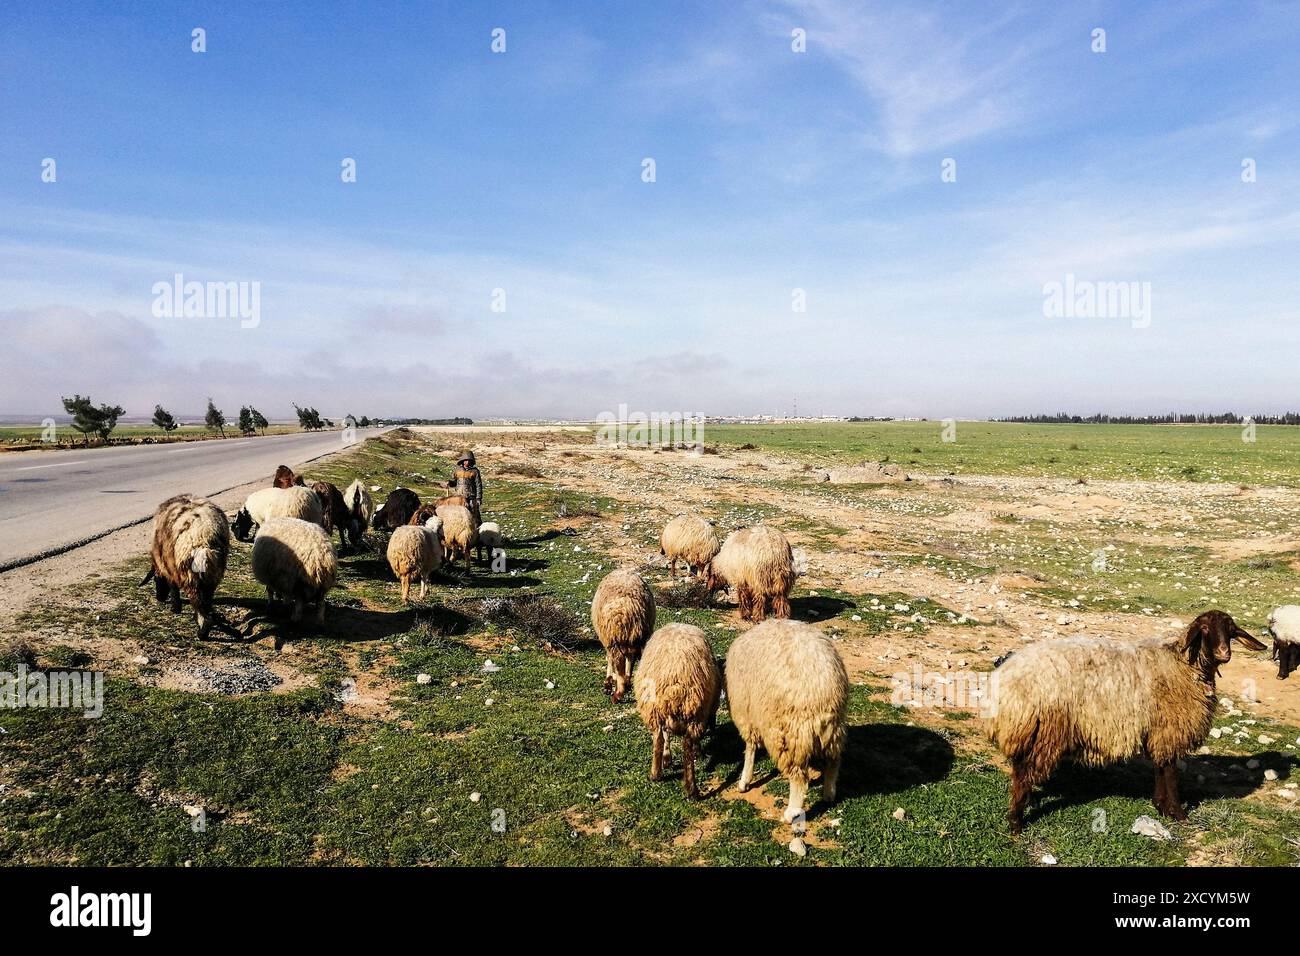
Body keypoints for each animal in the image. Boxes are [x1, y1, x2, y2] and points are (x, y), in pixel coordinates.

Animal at [595, 567, 660, 702]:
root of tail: (627, 608)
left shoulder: (608, 639)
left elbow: (610, 659)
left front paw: (608, 683)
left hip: (615, 638)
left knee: (618, 659)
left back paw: (618, 693)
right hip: (639, 635)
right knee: (633, 656)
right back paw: (628, 682)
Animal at [631, 621, 722, 801]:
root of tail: (674, 680)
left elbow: (666, 735)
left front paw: (667, 759)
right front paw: (699, 753)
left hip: (654, 709)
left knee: (658, 738)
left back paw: (655, 774)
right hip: (694, 711)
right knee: (686, 745)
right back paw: (691, 789)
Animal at [728, 621, 847, 822]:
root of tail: (822, 688)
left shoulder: (747, 713)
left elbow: (750, 749)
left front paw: (744, 781)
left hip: (787, 732)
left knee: (799, 777)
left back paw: (791, 812)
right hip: (832, 730)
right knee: (834, 761)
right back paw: (829, 793)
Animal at [987, 613, 1263, 832]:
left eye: (1231, 630)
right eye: (1204, 629)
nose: (1224, 654)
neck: (1185, 665)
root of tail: (1007, 679)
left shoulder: (1158, 730)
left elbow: (1160, 768)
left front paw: (1160, 806)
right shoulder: (1169, 729)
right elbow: (1170, 771)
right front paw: (1177, 812)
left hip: (1031, 732)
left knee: (1020, 769)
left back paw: (1028, 802)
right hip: (1047, 730)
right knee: (1024, 773)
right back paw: (1016, 822)